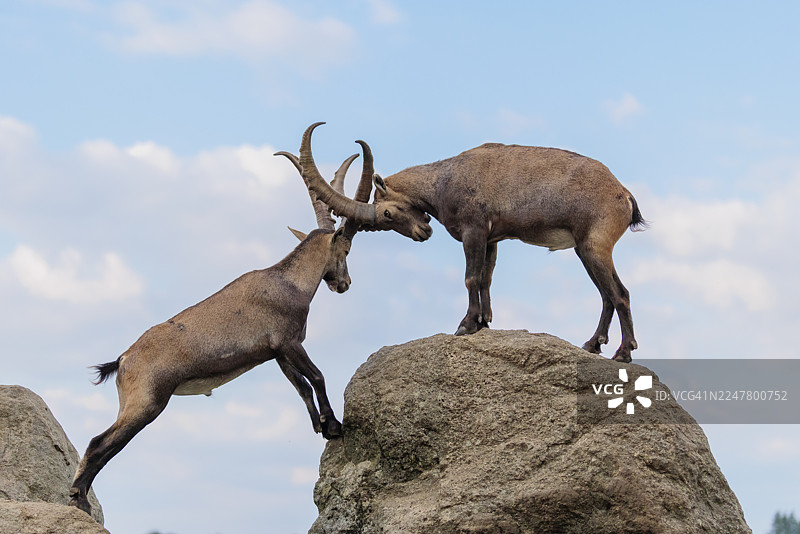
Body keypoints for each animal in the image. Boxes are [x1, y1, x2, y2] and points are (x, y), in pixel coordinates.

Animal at [68, 136, 374, 516]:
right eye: (345, 250)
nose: (344, 284)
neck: (289, 283)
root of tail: (122, 360)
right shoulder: (288, 342)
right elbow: (316, 376)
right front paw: (332, 426)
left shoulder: (276, 352)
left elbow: (301, 386)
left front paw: (319, 426)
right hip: (146, 403)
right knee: (99, 443)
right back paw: (79, 500)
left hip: (133, 404)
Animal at [295, 123, 645, 363]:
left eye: (387, 213)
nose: (424, 232)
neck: (442, 181)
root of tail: (624, 195)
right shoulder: (492, 238)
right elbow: (486, 278)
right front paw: (484, 322)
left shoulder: (473, 230)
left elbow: (470, 277)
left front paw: (465, 325)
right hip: (586, 249)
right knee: (607, 295)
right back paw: (593, 344)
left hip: (593, 246)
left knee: (619, 294)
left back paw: (623, 352)